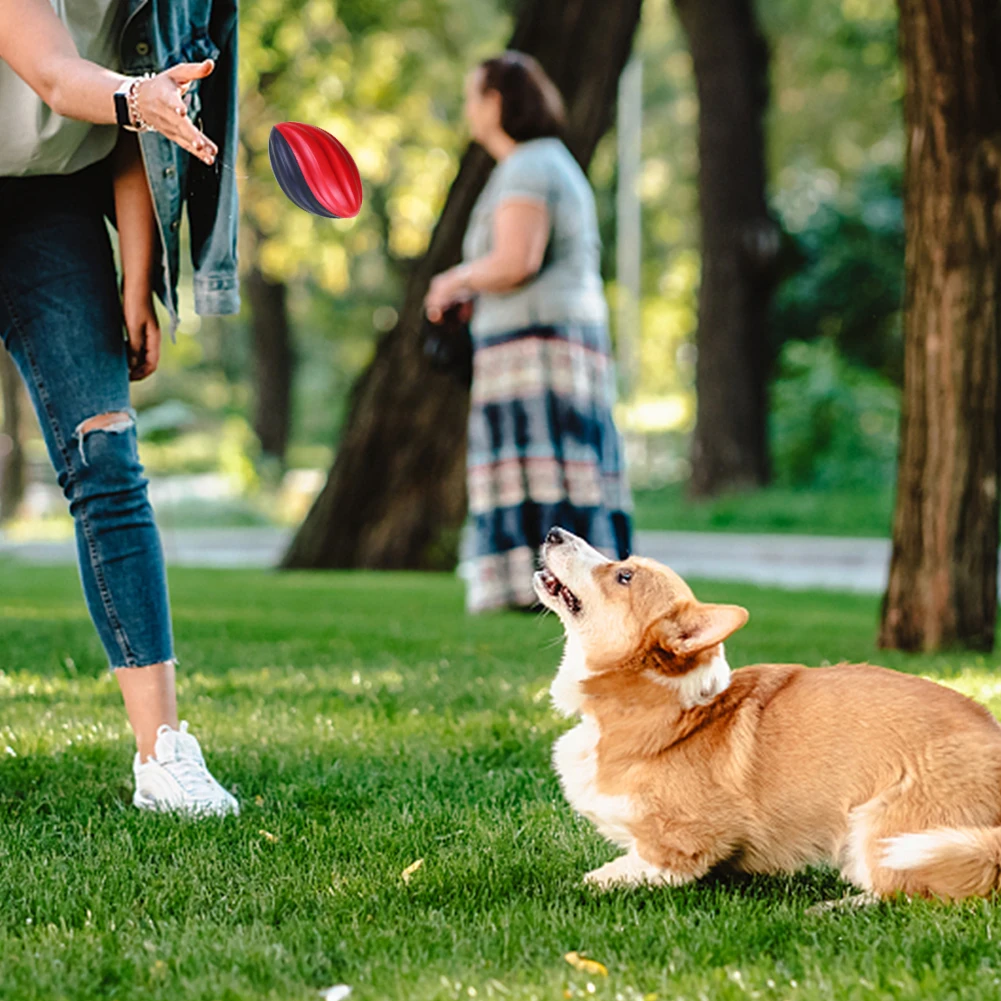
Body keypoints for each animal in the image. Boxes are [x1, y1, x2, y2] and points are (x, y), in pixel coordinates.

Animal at [536, 528, 1001, 904]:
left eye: (624, 577)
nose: (554, 531)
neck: (652, 699)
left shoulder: (680, 843)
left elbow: (603, 876)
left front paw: (583, 884)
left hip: (880, 827)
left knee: (905, 892)